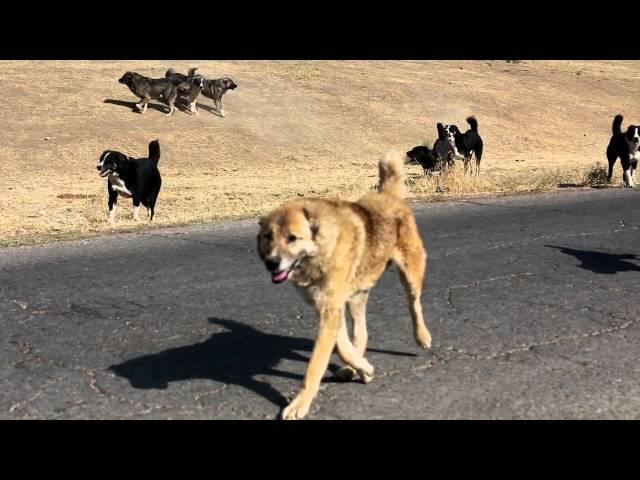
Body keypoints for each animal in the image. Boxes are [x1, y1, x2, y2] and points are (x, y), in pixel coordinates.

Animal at [258, 150, 432, 420]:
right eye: (268, 237)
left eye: (292, 238)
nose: (271, 263)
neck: (322, 249)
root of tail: (388, 195)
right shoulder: (329, 307)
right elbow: (342, 346)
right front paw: (363, 368)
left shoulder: (330, 309)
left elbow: (316, 364)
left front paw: (300, 403)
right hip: (356, 297)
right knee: (361, 334)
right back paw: (353, 369)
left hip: (411, 273)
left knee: (414, 305)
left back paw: (422, 336)